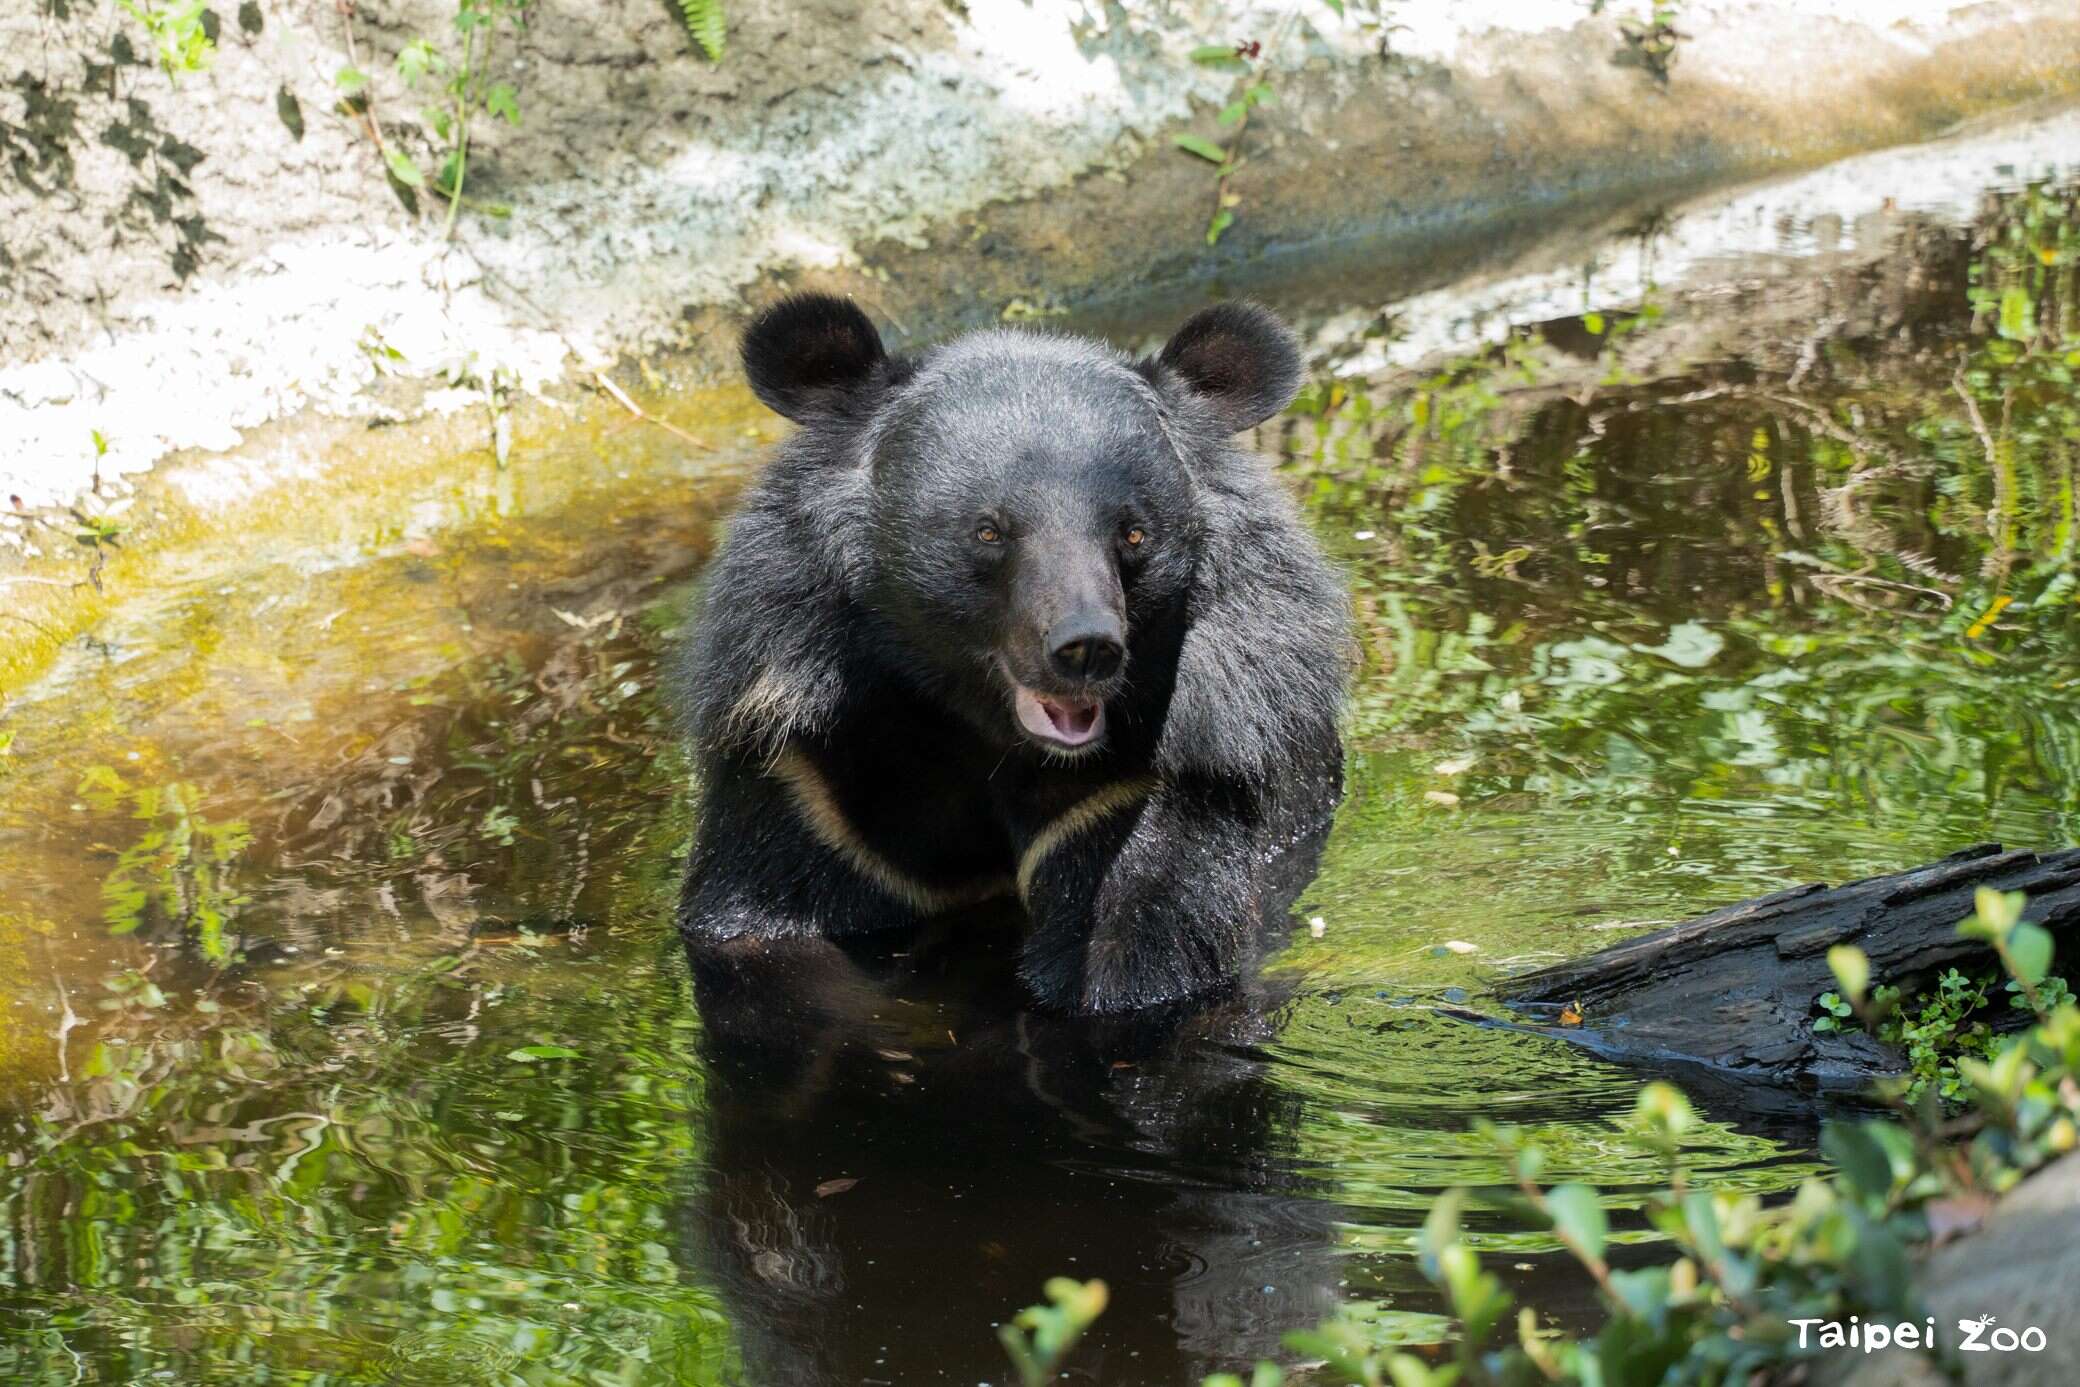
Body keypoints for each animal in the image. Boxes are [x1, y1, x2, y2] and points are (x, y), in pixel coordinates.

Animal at [674, 293, 1348, 1014]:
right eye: (989, 531)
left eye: (1133, 532)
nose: (1086, 648)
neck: (986, 736)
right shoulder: (812, 787)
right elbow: (766, 931)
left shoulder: (1161, 781)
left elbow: (1141, 952)